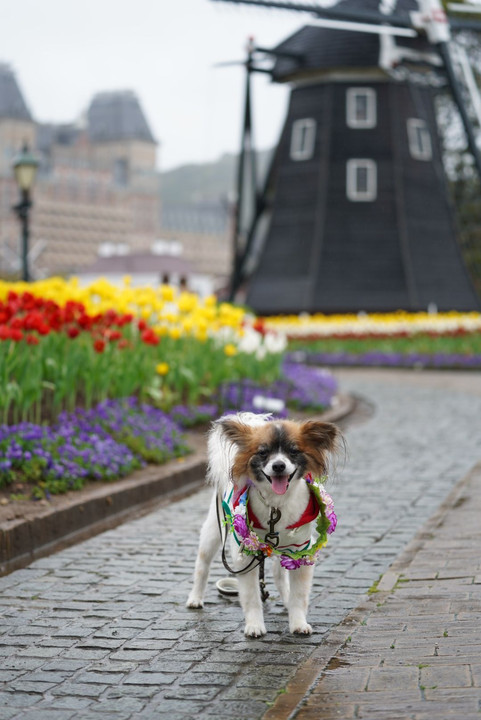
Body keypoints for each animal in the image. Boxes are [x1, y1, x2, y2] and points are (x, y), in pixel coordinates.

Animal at [186, 414, 340, 640]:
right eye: (263, 452)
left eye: (293, 451)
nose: (278, 466)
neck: (276, 506)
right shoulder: (244, 554)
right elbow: (251, 597)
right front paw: (254, 626)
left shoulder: (302, 550)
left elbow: (299, 595)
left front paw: (298, 622)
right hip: (214, 531)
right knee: (202, 565)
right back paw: (195, 598)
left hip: (285, 550)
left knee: (279, 574)